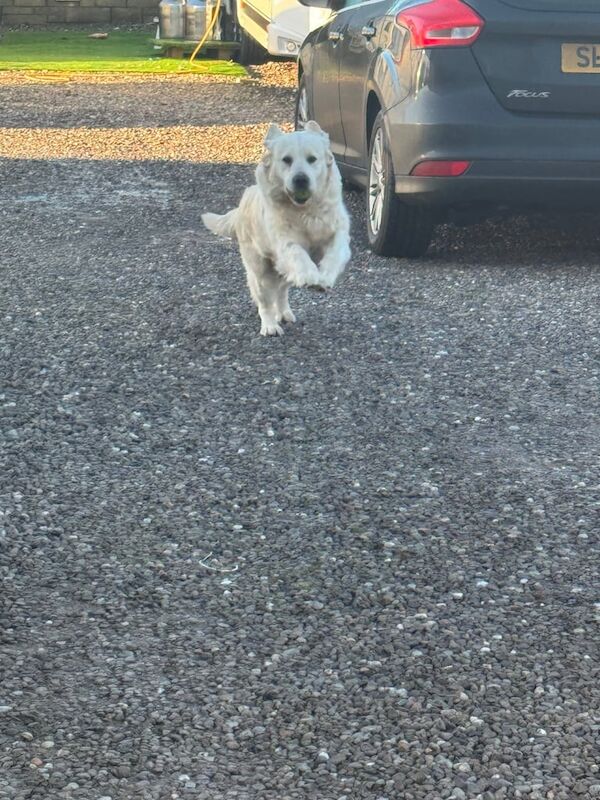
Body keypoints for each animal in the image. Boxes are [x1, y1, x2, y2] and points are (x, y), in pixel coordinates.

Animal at [202, 121, 352, 334]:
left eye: (312, 159)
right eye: (286, 160)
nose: (300, 179)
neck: (304, 210)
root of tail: (241, 206)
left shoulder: (337, 230)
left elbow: (335, 252)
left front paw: (324, 278)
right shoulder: (284, 242)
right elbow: (298, 253)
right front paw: (310, 275)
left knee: (281, 293)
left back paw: (285, 314)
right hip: (260, 270)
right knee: (265, 302)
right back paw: (270, 326)